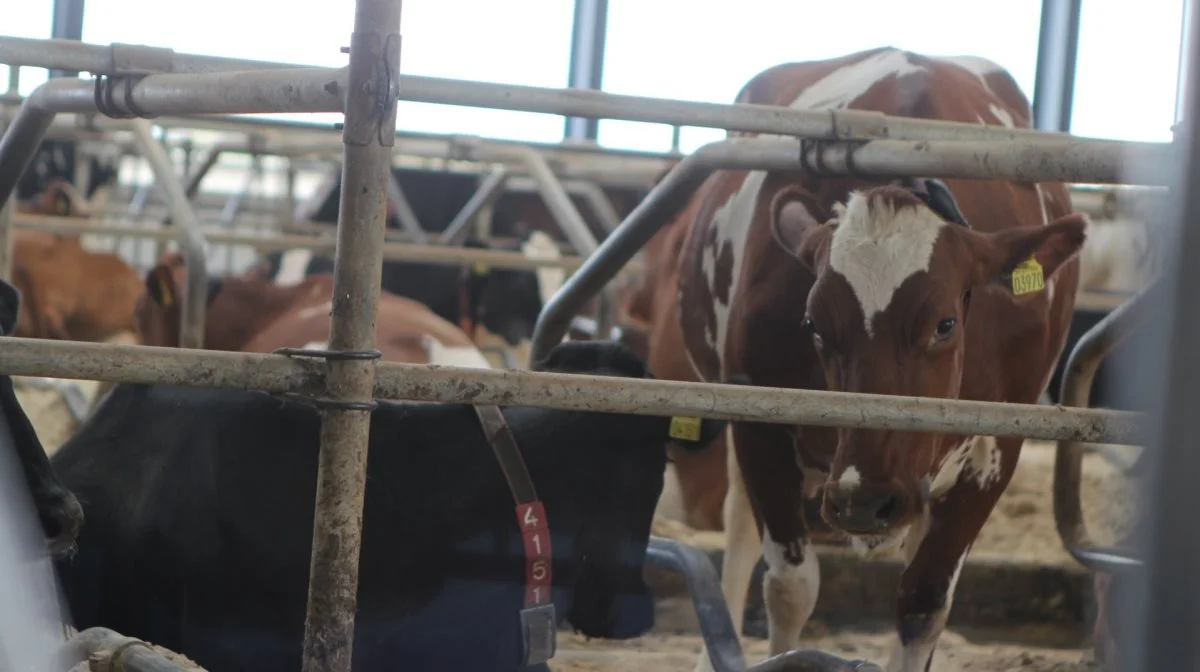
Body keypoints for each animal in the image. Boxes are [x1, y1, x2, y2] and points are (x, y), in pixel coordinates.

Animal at [676, 47, 1089, 672]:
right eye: (813, 325)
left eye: (945, 324)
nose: (865, 501)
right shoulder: (758, 424)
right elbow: (789, 585)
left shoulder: (998, 449)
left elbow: (923, 602)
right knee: (741, 526)